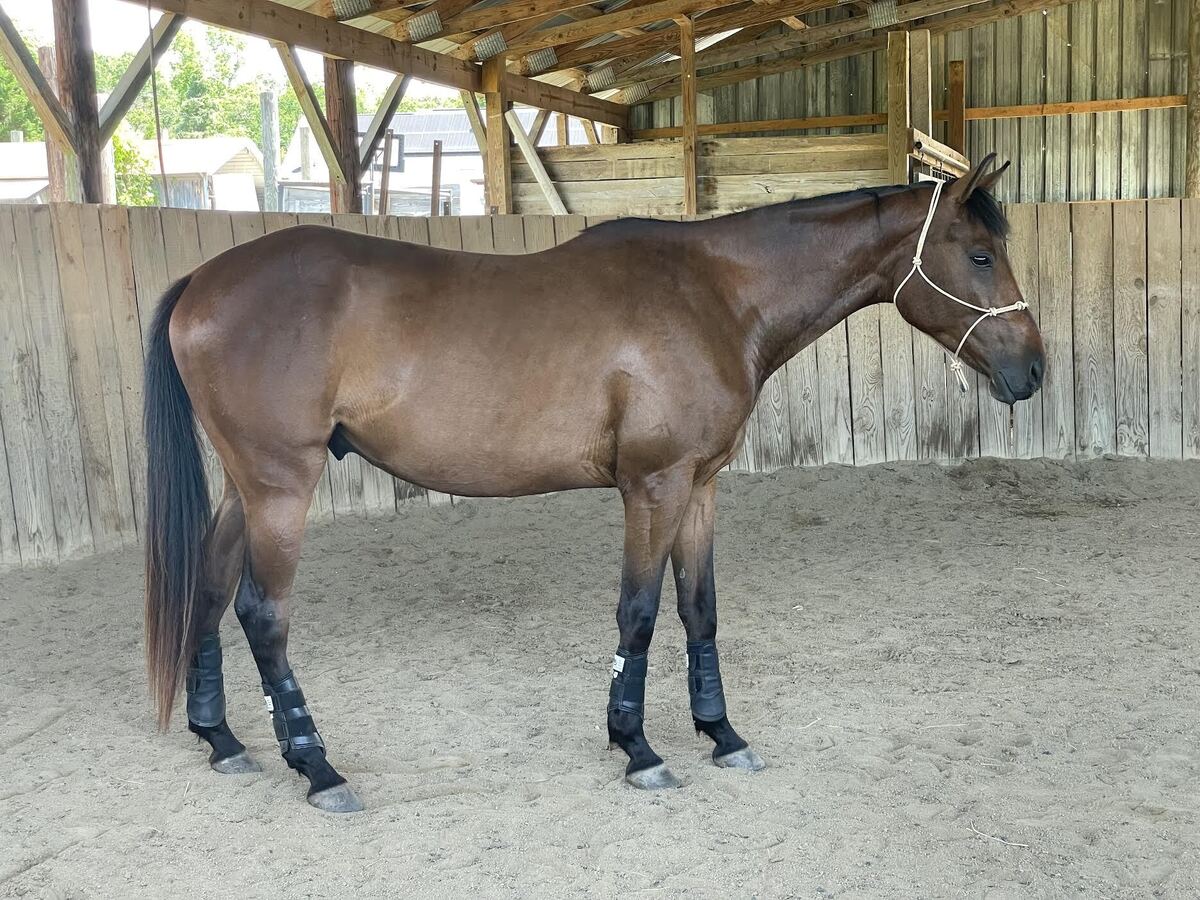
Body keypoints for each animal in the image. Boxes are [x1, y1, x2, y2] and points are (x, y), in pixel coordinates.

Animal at [144, 154, 1045, 812]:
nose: (1032, 370)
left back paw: (222, 740)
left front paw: (721, 734)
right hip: (280, 488)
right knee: (263, 615)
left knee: (212, 588)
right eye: (979, 254)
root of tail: (202, 281)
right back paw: (318, 768)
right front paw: (638, 748)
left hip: (246, 488)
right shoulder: (653, 486)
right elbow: (638, 614)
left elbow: (698, 610)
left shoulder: (700, 486)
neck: (715, 293)